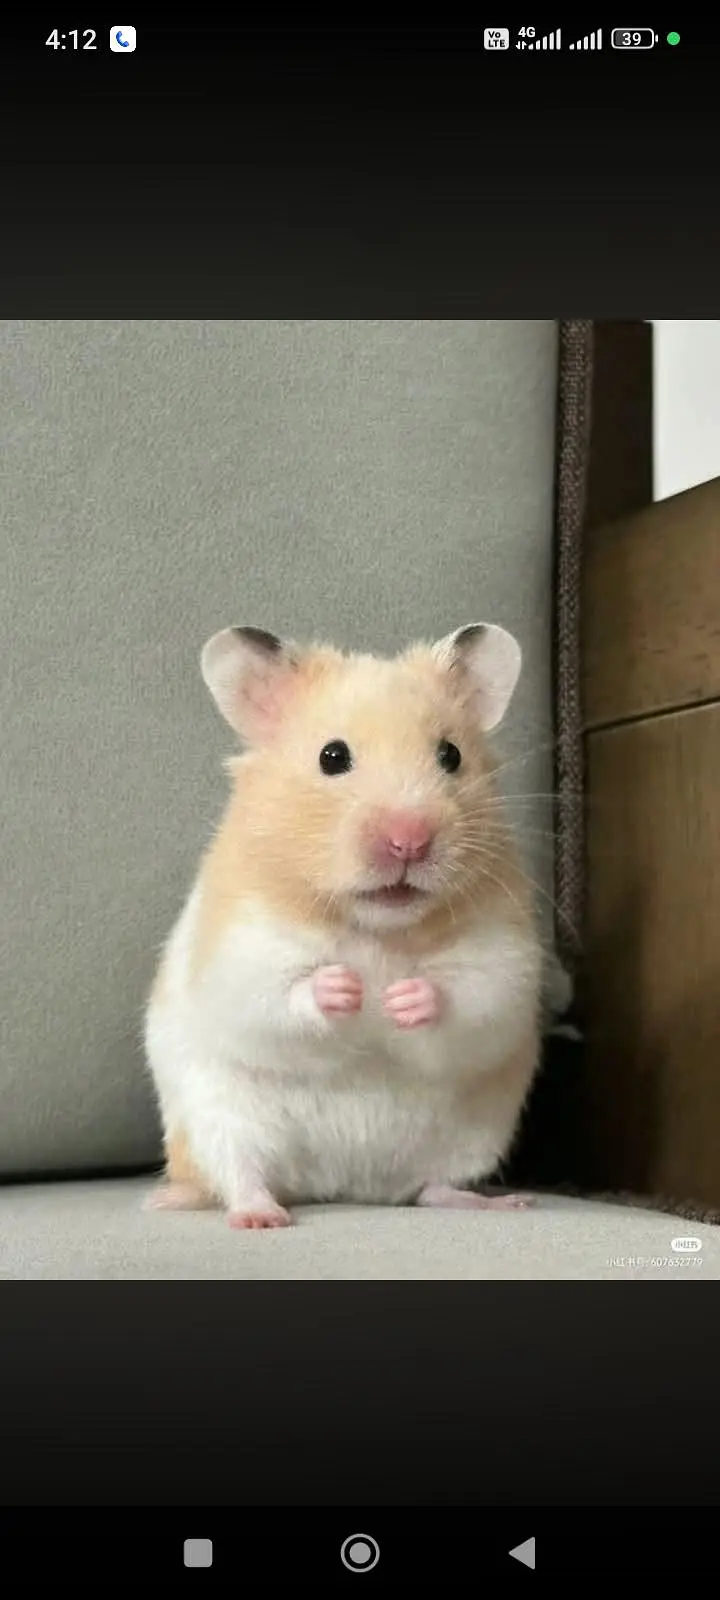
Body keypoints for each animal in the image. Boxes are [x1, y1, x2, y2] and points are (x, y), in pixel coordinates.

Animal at [144, 621, 543, 1229]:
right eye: (332, 757)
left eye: (450, 755)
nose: (409, 839)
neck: (376, 926)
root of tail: (344, 1184)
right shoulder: (241, 950)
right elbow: (277, 995)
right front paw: (346, 987)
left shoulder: (502, 957)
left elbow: (471, 995)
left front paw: (402, 997)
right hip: (220, 1118)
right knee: (240, 1177)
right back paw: (258, 1217)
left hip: (472, 1138)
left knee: (433, 1187)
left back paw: (504, 1202)